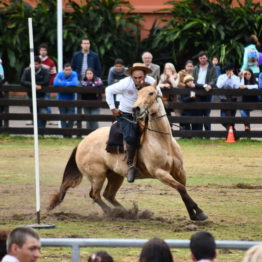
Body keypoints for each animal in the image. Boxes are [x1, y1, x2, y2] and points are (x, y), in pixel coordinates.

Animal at [48, 83, 208, 221]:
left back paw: (126, 212)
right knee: (95, 195)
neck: (163, 141)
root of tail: (81, 143)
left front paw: (194, 214)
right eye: (139, 94)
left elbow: (183, 190)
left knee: (108, 195)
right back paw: (113, 213)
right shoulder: (160, 173)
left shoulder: (180, 171)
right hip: (97, 175)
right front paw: (200, 212)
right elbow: (181, 188)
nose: (136, 109)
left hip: (115, 175)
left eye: (151, 93)